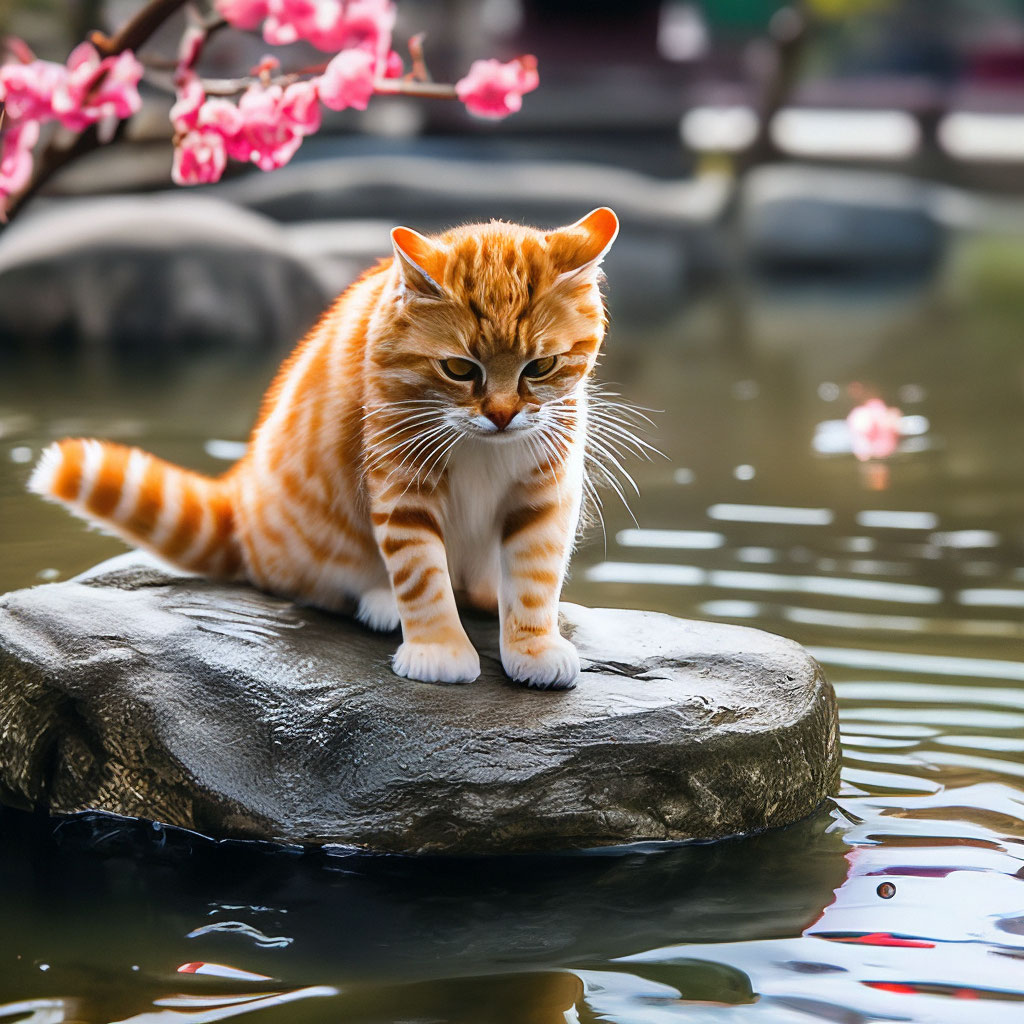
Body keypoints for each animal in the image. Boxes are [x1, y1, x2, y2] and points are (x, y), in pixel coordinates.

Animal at [32, 207, 618, 688]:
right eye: (458, 368)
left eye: (540, 367)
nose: (500, 415)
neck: (481, 443)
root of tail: (243, 506)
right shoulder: (401, 485)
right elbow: (421, 575)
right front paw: (438, 648)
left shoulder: (546, 487)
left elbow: (534, 574)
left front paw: (534, 646)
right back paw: (382, 602)